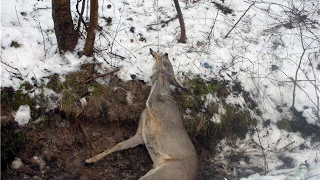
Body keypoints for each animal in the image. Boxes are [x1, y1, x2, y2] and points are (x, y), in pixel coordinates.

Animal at [83, 48, 198, 179]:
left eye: (168, 63)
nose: (166, 53)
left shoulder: (154, 104)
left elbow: (159, 77)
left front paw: (154, 54)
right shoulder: (141, 135)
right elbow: (120, 144)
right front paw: (88, 160)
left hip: (164, 173)